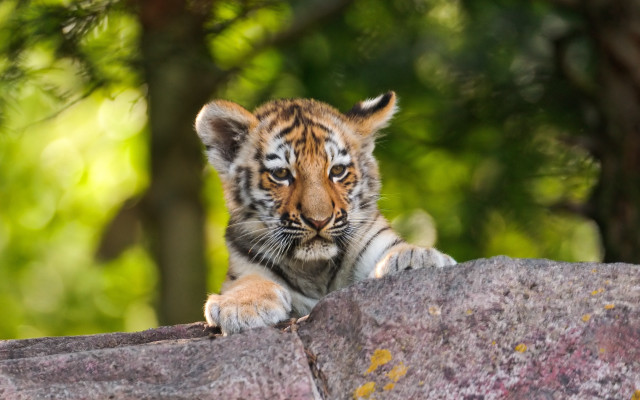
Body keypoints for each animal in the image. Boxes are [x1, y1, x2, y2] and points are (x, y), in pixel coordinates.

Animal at [195, 91, 456, 335]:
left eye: (337, 171)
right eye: (281, 174)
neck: (313, 268)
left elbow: (397, 248)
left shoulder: (374, 237)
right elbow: (248, 281)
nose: (318, 221)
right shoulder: (244, 265)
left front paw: (416, 257)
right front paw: (242, 307)